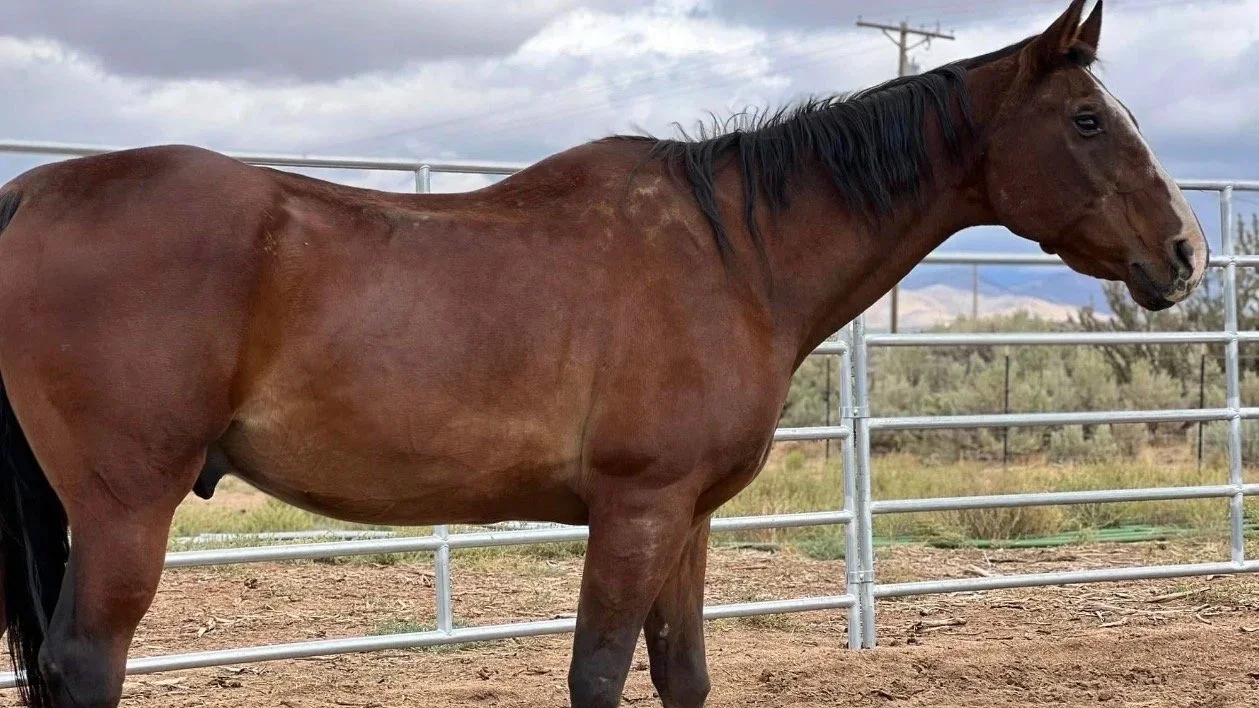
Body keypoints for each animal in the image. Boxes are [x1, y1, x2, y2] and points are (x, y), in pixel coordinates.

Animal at [0, 1, 1208, 706]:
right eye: (1088, 120)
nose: (1185, 254)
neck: (732, 256)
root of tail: (32, 193)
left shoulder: (685, 520)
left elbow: (682, 675)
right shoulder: (635, 511)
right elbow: (596, 675)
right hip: (126, 505)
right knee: (86, 663)